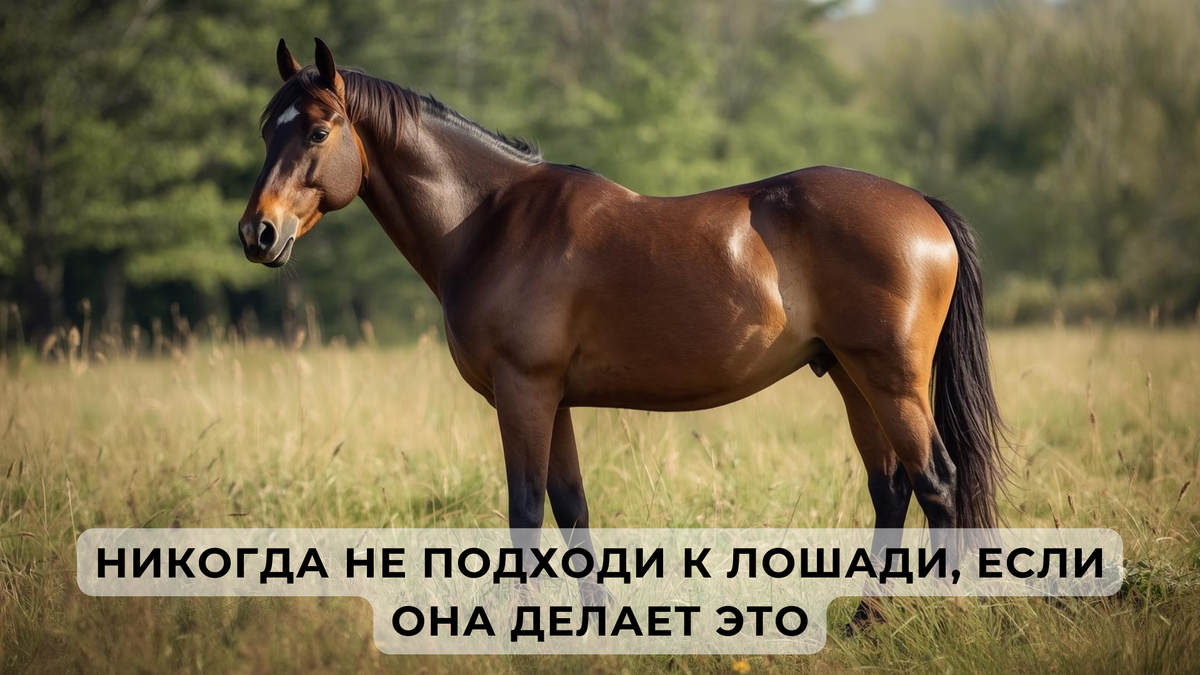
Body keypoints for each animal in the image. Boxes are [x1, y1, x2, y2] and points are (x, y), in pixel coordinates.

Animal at [239, 38, 1007, 627]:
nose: (257, 233)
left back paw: (944, 617)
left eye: (317, 131)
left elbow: (525, 509)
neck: (490, 221)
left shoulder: (523, 392)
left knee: (937, 482)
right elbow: (571, 506)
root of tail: (922, 206)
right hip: (852, 377)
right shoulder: (553, 400)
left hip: (890, 379)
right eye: (266, 128)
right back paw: (864, 621)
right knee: (892, 490)